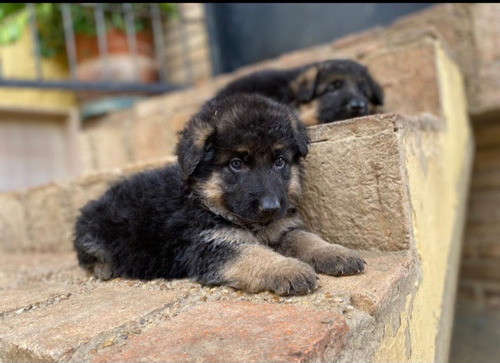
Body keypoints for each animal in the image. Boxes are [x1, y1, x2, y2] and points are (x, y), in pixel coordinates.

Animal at [74, 94, 366, 296]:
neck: (206, 202)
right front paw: (287, 268)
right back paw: (105, 267)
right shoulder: (213, 246)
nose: (271, 207)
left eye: (280, 161)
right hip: (94, 229)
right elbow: (254, 254)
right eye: (236, 164)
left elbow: (308, 239)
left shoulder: (284, 228)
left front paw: (335, 253)